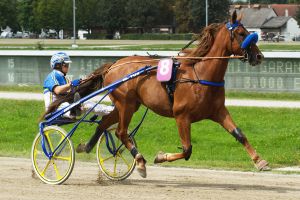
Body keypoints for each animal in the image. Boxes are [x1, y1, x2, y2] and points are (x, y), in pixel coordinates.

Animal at [44, 11, 270, 177]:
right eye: (241, 33)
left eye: (248, 31)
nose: (259, 56)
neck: (200, 74)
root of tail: (114, 65)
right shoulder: (182, 116)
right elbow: (187, 150)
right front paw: (160, 157)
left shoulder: (218, 111)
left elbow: (239, 134)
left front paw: (260, 161)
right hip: (126, 104)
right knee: (121, 132)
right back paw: (140, 161)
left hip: (129, 105)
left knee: (105, 123)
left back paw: (88, 147)